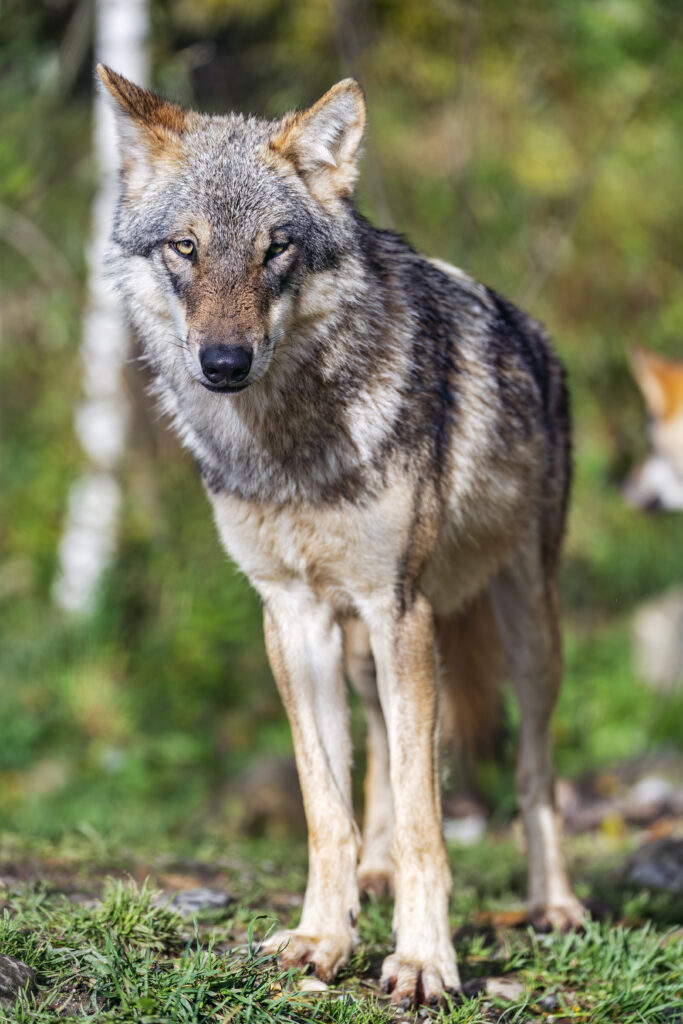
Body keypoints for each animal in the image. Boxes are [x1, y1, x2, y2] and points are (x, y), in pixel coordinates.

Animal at [98, 64, 585, 1004]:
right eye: (186, 248)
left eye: (275, 249)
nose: (223, 364)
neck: (288, 445)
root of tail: (538, 338)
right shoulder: (292, 615)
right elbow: (327, 804)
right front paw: (324, 936)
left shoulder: (400, 608)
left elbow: (432, 820)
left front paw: (424, 960)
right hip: (366, 651)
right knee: (387, 761)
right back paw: (374, 875)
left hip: (525, 631)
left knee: (534, 770)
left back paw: (554, 905)